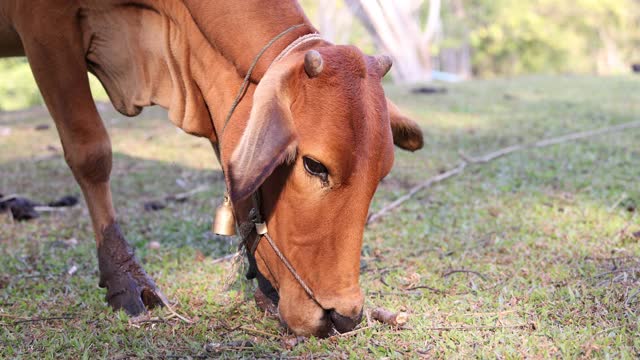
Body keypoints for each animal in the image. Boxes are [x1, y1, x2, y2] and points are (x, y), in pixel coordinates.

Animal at [1, 0, 424, 338]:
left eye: (381, 175)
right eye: (314, 165)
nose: (344, 317)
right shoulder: (45, 27)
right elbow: (91, 153)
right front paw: (123, 276)